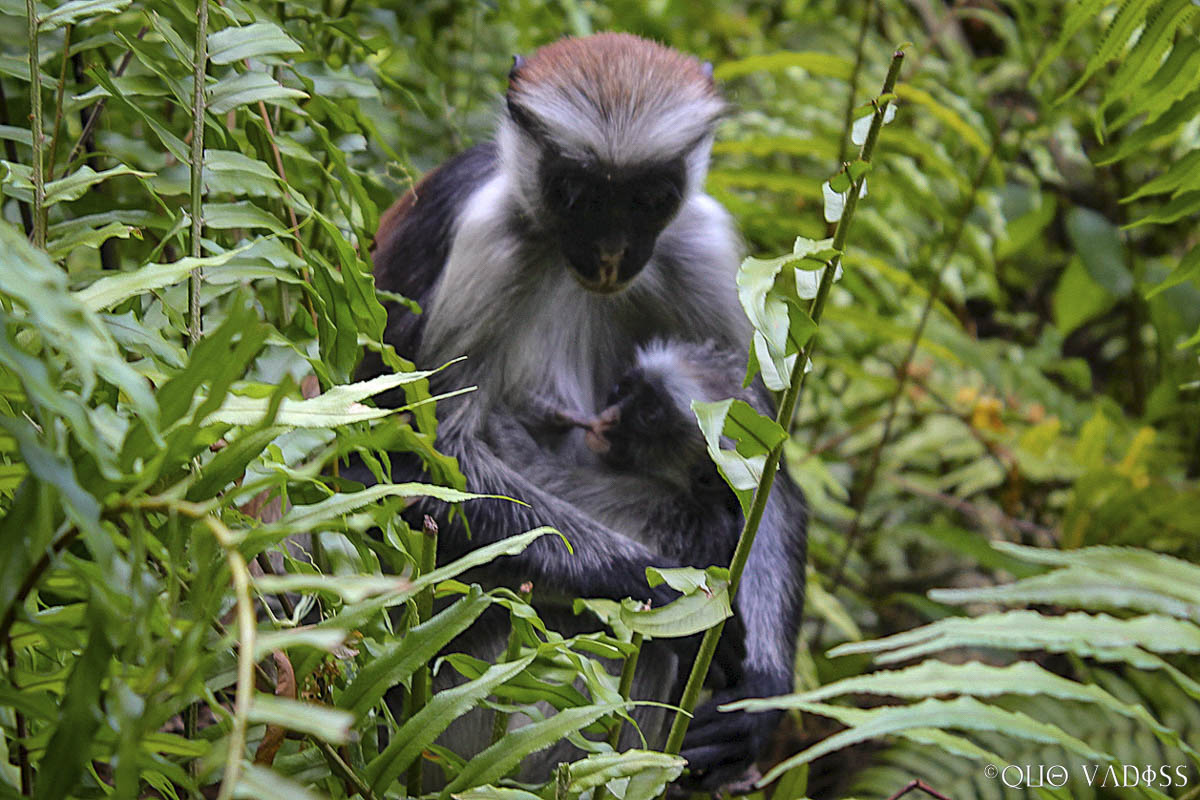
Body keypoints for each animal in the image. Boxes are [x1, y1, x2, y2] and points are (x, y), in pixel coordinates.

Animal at [351, 33, 807, 790]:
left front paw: (761, 698)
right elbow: (392, 468)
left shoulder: (699, 240)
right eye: (577, 194)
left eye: (649, 198)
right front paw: (664, 593)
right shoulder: (483, 237)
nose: (610, 255)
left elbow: (764, 474)